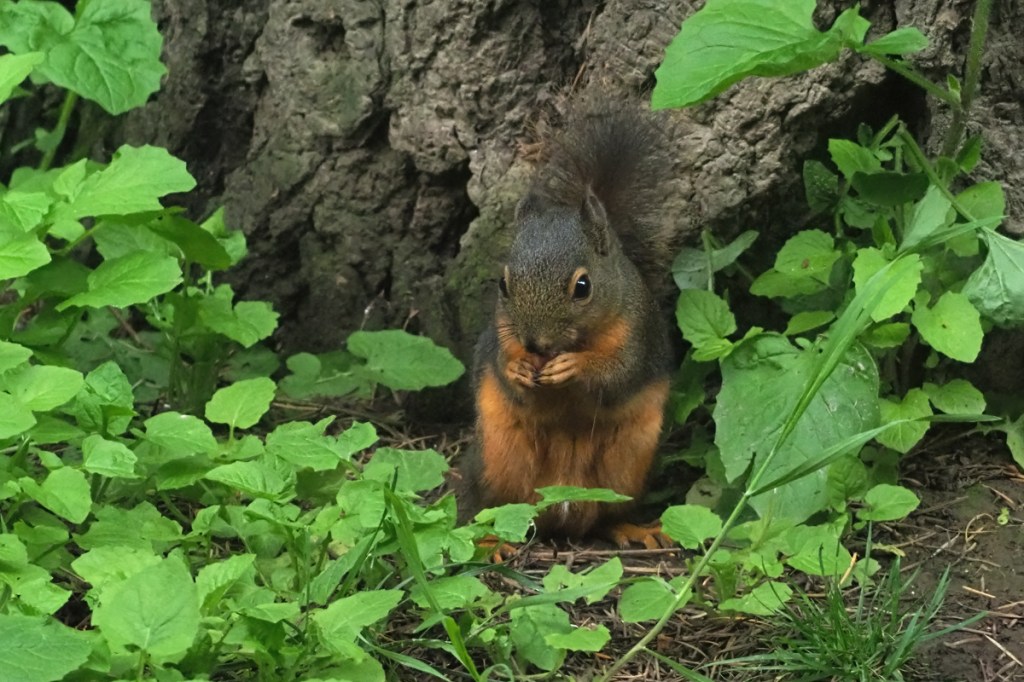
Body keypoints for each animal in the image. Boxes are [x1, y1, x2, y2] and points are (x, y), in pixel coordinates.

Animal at [460, 102, 676, 548]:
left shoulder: (637, 336)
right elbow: (505, 374)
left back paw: (635, 529)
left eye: (583, 286)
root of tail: (559, 505)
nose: (536, 344)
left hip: (627, 468)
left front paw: (573, 367)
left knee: (608, 517)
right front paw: (518, 369)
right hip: (494, 461)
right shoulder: (500, 337)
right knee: (485, 509)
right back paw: (490, 543)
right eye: (503, 284)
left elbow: (618, 377)